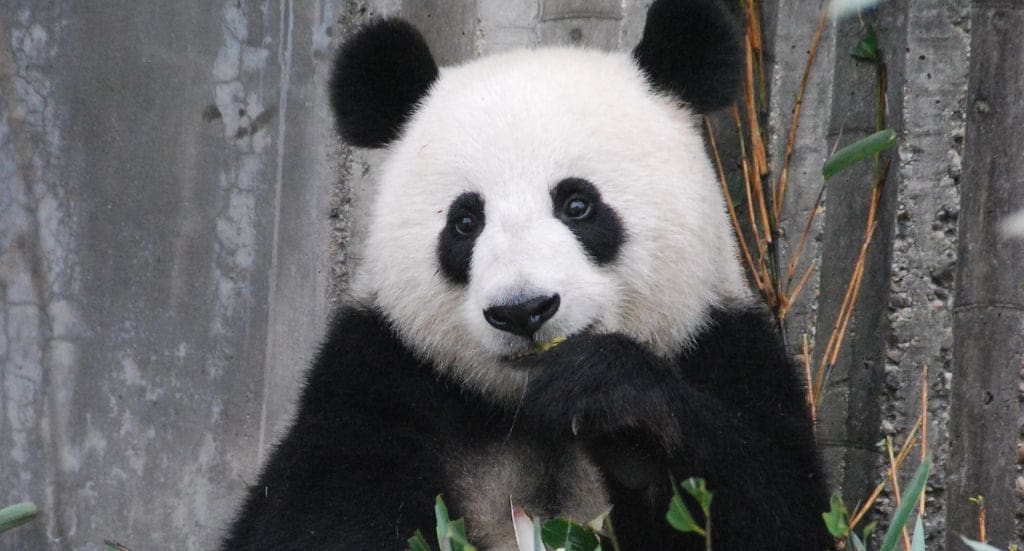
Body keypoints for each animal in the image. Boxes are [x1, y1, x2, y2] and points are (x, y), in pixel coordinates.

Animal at [222, 0, 832, 549]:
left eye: (578, 205)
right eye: (465, 221)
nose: (522, 310)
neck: (523, 407)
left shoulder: (724, 347)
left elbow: (777, 506)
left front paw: (616, 409)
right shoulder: (378, 378)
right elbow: (313, 516)